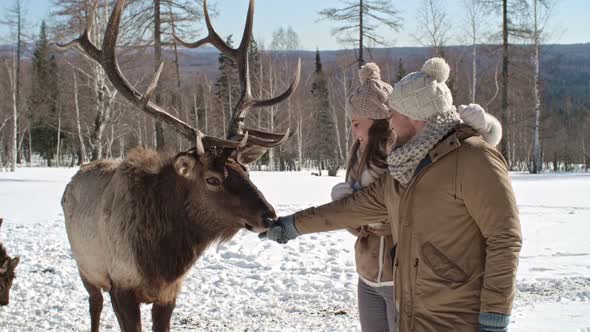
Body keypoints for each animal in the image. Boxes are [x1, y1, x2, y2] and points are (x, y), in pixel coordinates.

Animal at [57, 1, 300, 330]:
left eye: (245, 170)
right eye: (212, 179)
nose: (270, 215)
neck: (162, 260)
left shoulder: (169, 293)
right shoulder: (121, 286)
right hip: (86, 267)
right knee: (93, 305)